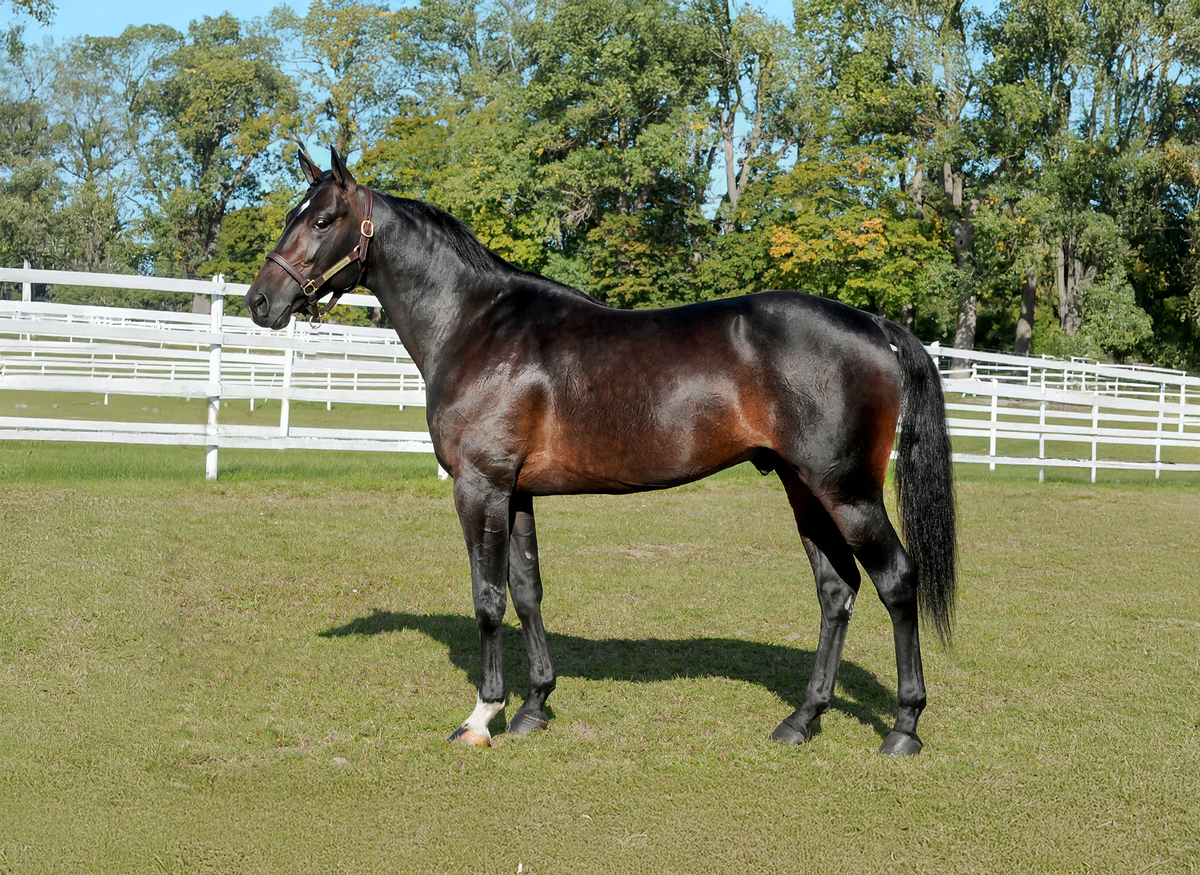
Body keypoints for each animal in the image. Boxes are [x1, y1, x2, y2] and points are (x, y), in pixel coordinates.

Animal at [245, 149, 957, 756]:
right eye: (292, 215)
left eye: (324, 219)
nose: (259, 302)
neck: (475, 325)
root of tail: (875, 326)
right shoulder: (518, 492)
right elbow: (527, 590)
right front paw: (534, 706)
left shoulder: (480, 487)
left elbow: (488, 598)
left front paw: (482, 716)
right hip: (804, 488)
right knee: (836, 591)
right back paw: (802, 720)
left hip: (847, 491)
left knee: (897, 581)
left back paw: (904, 727)